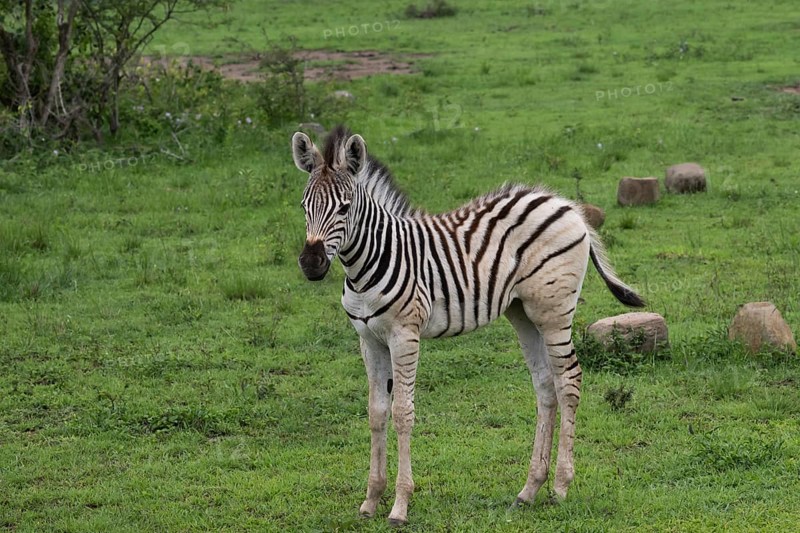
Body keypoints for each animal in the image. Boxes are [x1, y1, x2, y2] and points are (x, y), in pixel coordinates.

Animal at [292, 125, 644, 526]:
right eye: (304, 206)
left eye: (345, 208)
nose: (311, 264)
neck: (367, 263)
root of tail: (563, 203)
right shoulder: (368, 339)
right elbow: (376, 413)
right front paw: (370, 500)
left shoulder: (404, 335)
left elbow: (402, 413)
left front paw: (399, 506)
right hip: (523, 312)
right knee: (545, 386)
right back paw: (529, 490)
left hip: (553, 311)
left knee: (569, 380)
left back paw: (560, 487)